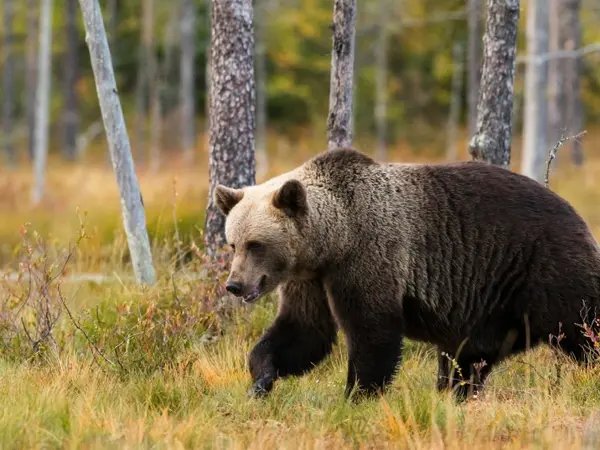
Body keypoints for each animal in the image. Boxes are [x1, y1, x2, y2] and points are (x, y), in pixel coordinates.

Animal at [213, 147, 600, 400]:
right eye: (233, 243)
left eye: (256, 244)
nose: (235, 285)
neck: (333, 240)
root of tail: (574, 211)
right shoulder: (310, 279)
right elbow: (304, 331)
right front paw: (261, 379)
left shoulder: (370, 255)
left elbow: (373, 331)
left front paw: (357, 394)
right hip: (492, 305)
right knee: (469, 357)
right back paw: (455, 392)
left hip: (541, 267)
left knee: (583, 322)